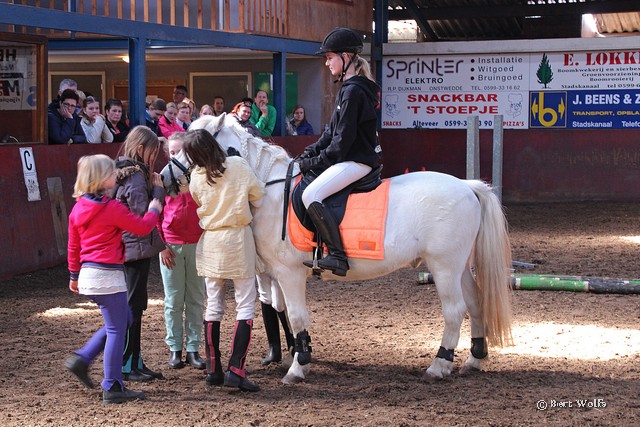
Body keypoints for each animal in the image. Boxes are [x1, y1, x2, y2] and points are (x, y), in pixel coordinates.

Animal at [169, 113, 514, 385]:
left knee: (455, 310)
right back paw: (474, 359)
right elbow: (283, 311)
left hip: (443, 266)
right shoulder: (276, 274)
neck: (269, 189)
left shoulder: (289, 272)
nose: (164, 177)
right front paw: (299, 354)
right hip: (459, 266)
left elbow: (296, 315)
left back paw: (439, 366)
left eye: (188, 150)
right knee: (474, 302)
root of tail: (466, 186)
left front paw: (297, 369)